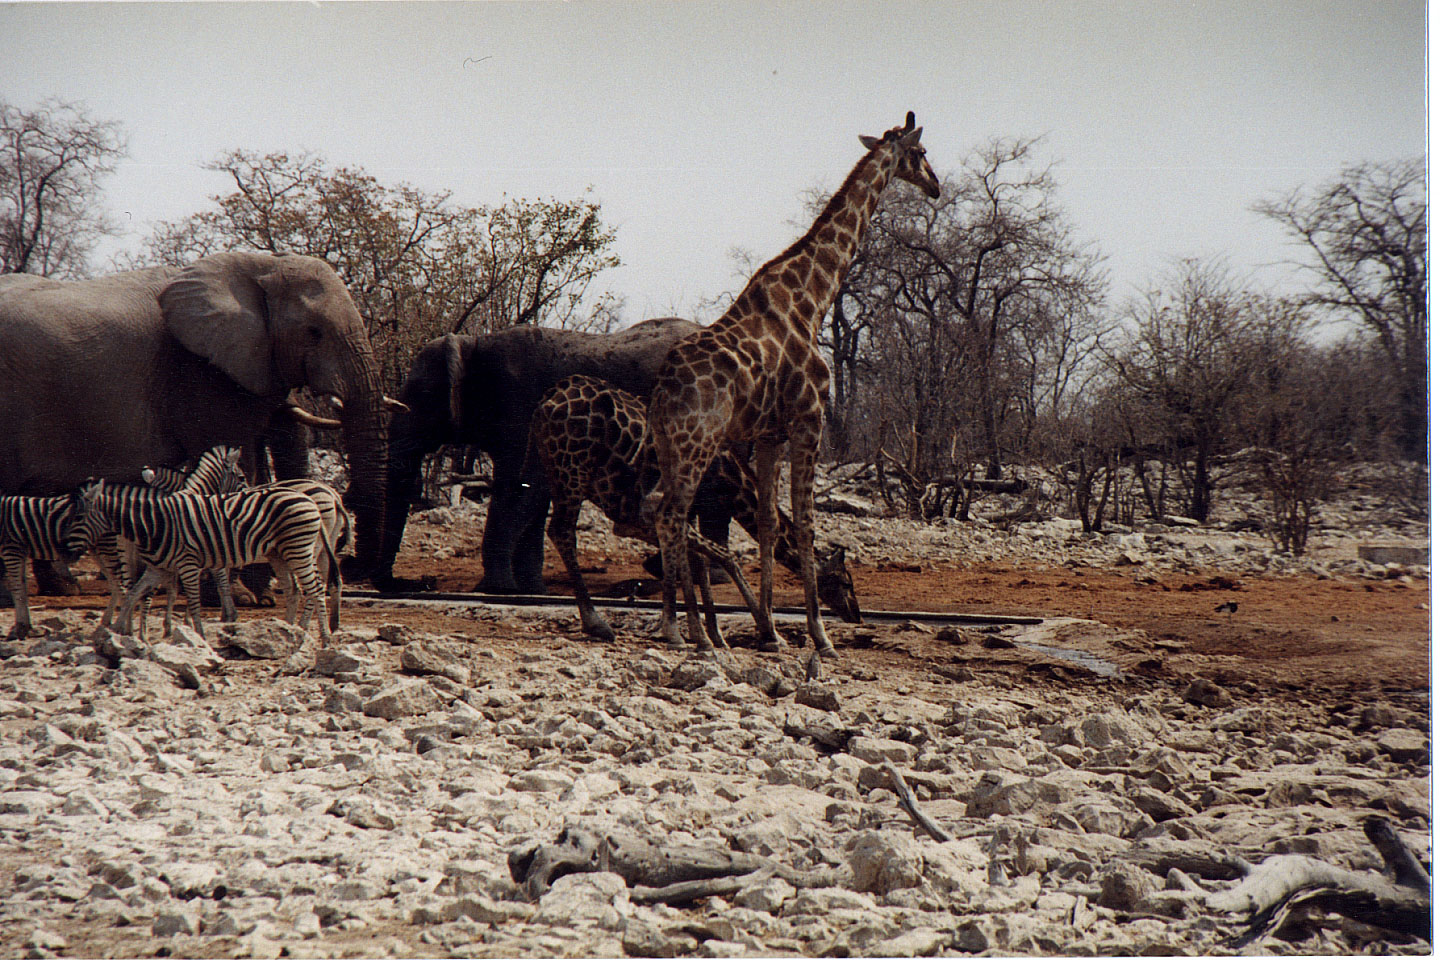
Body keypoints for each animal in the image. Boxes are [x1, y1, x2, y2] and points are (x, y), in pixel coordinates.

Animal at [0, 251, 391, 581]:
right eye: (314, 333)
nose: (351, 563)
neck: (261, 264)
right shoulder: (198, 372)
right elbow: (235, 459)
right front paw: (246, 590)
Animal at [68, 480, 338, 644]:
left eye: (79, 517)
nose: (67, 550)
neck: (155, 524)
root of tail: (312, 499)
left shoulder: (188, 563)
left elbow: (194, 603)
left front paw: (198, 636)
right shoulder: (158, 569)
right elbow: (133, 594)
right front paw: (115, 631)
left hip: (299, 547)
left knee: (316, 588)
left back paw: (324, 638)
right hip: (278, 553)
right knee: (293, 590)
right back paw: (288, 632)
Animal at [374, 320, 699, 592]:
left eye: (420, 397)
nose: (414, 584)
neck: (473, 344)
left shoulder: (521, 406)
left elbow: (519, 488)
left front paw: (497, 590)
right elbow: (534, 494)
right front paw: (531, 590)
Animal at [532, 374, 858, 644]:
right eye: (845, 581)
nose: (855, 614)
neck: (731, 479)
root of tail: (546, 402)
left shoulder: (683, 512)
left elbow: (695, 562)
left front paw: (710, 634)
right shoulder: (685, 509)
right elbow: (715, 558)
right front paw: (763, 631)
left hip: (556, 474)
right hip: (572, 472)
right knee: (561, 530)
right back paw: (597, 624)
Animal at [648, 110, 938, 653]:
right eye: (923, 153)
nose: (937, 186)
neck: (814, 299)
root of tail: (661, 393)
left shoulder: (768, 435)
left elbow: (766, 522)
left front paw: (771, 631)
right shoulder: (810, 420)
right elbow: (805, 522)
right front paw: (819, 636)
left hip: (670, 446)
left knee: (663, 512)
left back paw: (690, 629)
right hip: (698, 443)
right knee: (669, 514)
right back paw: (684, 632)